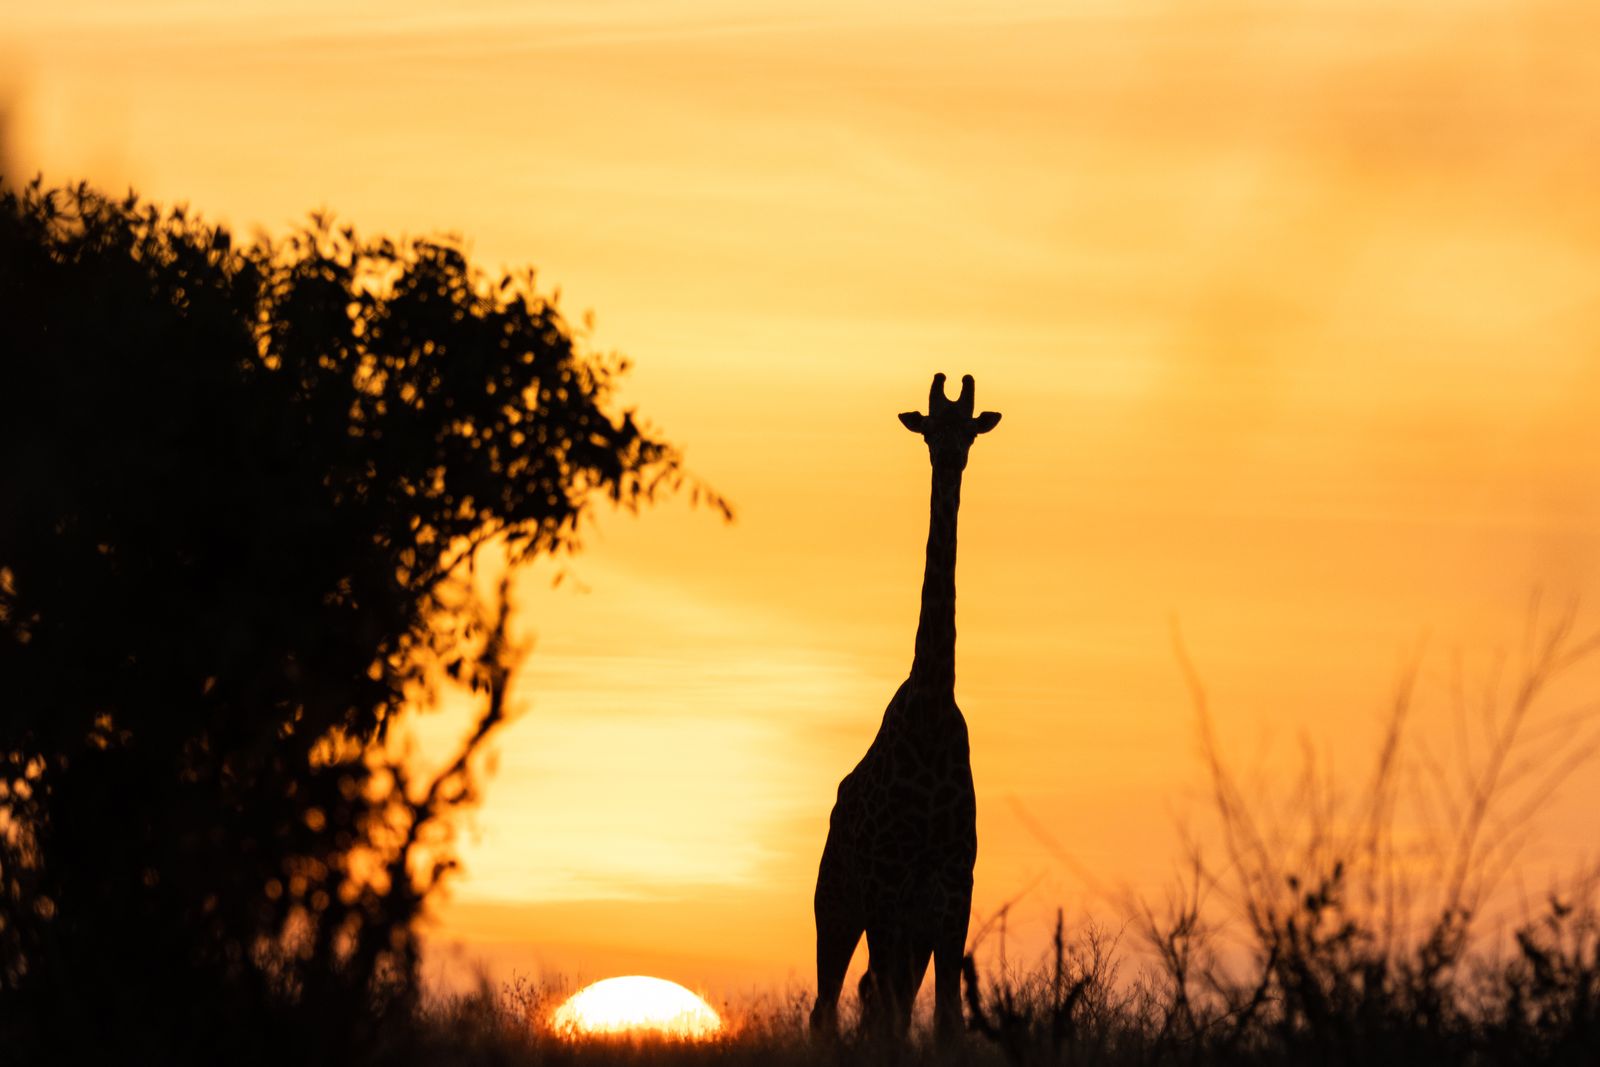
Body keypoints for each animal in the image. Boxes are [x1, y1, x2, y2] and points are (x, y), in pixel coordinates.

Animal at [810, 372, 1001, 1042]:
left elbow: (947, 1019)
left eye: (969, 427)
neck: (932, 704)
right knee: (828, 1006)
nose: (949, 456)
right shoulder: (890, 888)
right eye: (928, 427)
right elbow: (892, 1019)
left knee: (871, 993)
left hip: (903, 925)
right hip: (837, 903)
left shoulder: (952, 891)